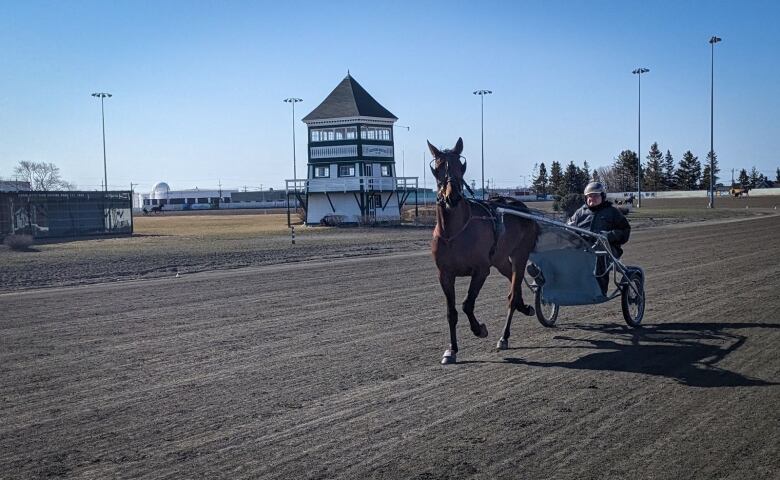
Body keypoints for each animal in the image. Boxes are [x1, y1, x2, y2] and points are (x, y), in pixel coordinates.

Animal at [426, 138, 544, 364]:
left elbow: (467, 304)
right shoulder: (444, 274)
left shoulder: (481, 270)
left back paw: (504, 336)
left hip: (520, 254)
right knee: (513, 286)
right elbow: (451, 312)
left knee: (512, 294)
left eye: (460, 166)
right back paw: (525, 306)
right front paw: (452, 350)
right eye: (437, 168)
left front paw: (479, 329)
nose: (452, 197)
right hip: (500, 259)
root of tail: (521, 206)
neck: (454, 231)